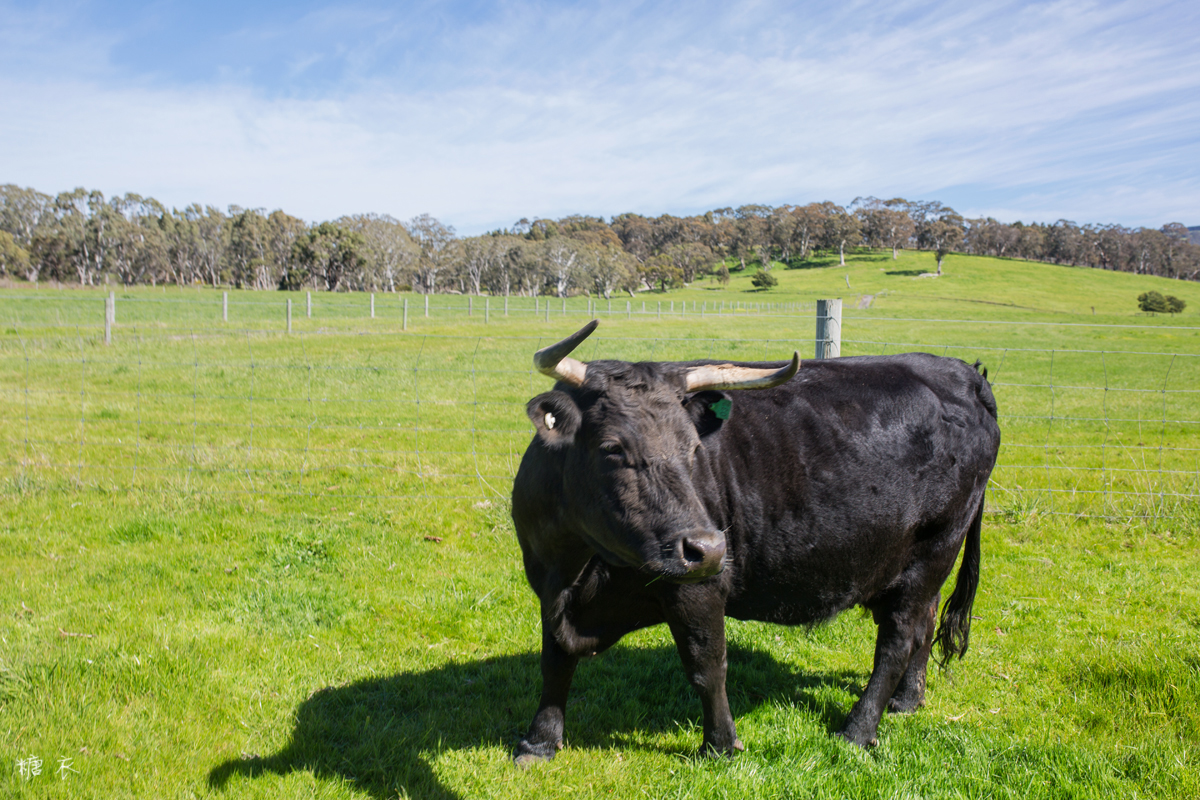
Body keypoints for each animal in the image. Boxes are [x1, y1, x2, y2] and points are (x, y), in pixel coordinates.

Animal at [511, 321, 998, 762]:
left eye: (693, 449)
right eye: (612, 447)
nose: (708, 548)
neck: (577, 567)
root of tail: (962, 372)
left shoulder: (699, 590)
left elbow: (707, 667)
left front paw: (721, 745)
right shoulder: (547, 588)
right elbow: (555, 662)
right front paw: (539, 741)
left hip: (934, 551)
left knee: (897, 642)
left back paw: (858, 729)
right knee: (923, 625)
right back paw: (906, 701)